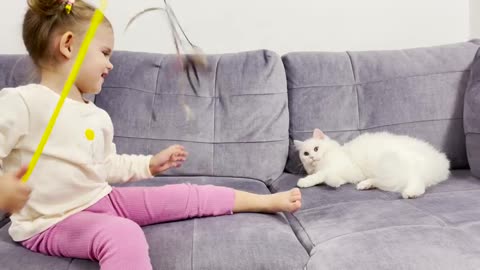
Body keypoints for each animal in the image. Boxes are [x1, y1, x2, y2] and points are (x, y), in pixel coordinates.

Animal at [294, 129, 452, 198]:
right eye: (305, 154)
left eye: (316, 148)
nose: (312, 157)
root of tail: (440, 163)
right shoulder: (346, 174)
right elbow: (330, 179)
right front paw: (335, 183)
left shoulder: (340, 167)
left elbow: (321, 175)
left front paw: (304, 181)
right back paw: (365, 185)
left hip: (394, 164)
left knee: (417, 182)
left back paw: (410, 193)